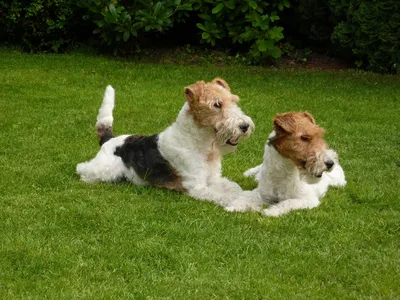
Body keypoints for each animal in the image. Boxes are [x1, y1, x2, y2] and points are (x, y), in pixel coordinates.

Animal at [76, 78, 255, 207]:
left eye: (234, 101)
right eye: (217, 104)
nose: (244, 126)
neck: (200, 145)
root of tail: (109, 139)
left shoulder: (214, 179)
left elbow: (234, 188)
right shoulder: (196, 187)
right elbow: (225, 196)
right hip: (104, 170)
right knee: (81, 167)